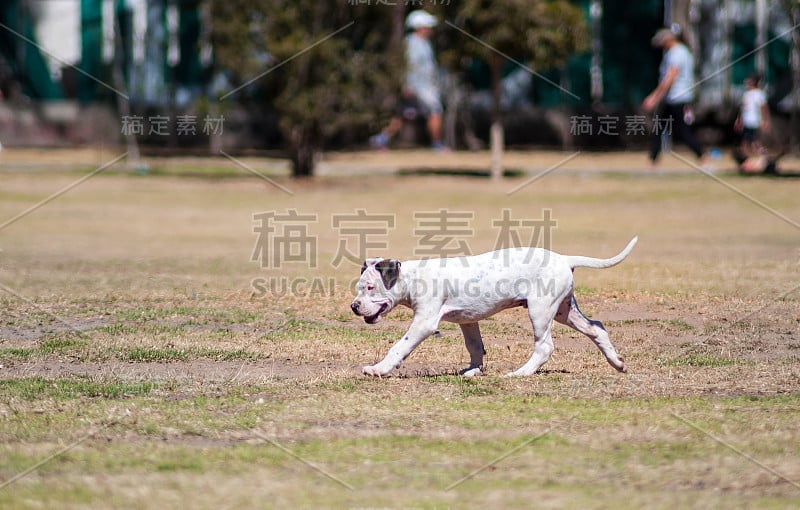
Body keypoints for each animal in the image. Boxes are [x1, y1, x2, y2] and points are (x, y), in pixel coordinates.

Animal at [350, 237, 636, 376]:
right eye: (359, 287)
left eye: (370, 288)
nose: (354, 306)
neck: (413, 278)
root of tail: (564, 258)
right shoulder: (467, 320)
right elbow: (475, 346)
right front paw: (473, 370)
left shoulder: (424, 323)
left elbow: (399, 347)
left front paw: (378, 369)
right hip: (565, 311)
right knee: (597, 327)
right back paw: (617, 363)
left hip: (541, 310)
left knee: (545, 346)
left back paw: (520, 373)